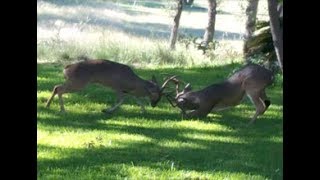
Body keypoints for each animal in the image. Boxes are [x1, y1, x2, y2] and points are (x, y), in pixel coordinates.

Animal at [45, 58, 178, 113]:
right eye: (156, 95)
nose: (154, 105)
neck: (133, 83)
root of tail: (66, 68)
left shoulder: (128, 91)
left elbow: (138, 100)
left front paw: (144, 111)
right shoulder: (118, 87)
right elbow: (120, 101)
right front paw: (106, 110)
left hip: (74, 81)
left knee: (56, 86)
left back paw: (48, 105)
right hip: (79, 82)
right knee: (59, 89)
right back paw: (62, 109)